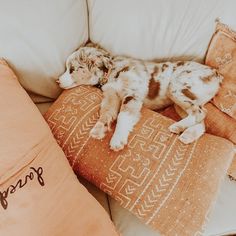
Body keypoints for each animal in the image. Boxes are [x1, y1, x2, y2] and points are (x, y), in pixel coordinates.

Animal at [58, 43, 222, 151]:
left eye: (72, 69)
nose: (58, 81)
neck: (110, 72)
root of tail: (216, 73)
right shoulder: (111, 95)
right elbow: (106, 113)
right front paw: (98, 129)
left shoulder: (132, 94)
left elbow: (123, 116)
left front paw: (117, 139)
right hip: (180, 103)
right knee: (201, 120)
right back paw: (187, 134)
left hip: (176, 88)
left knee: (200, 113)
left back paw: (178, 127)